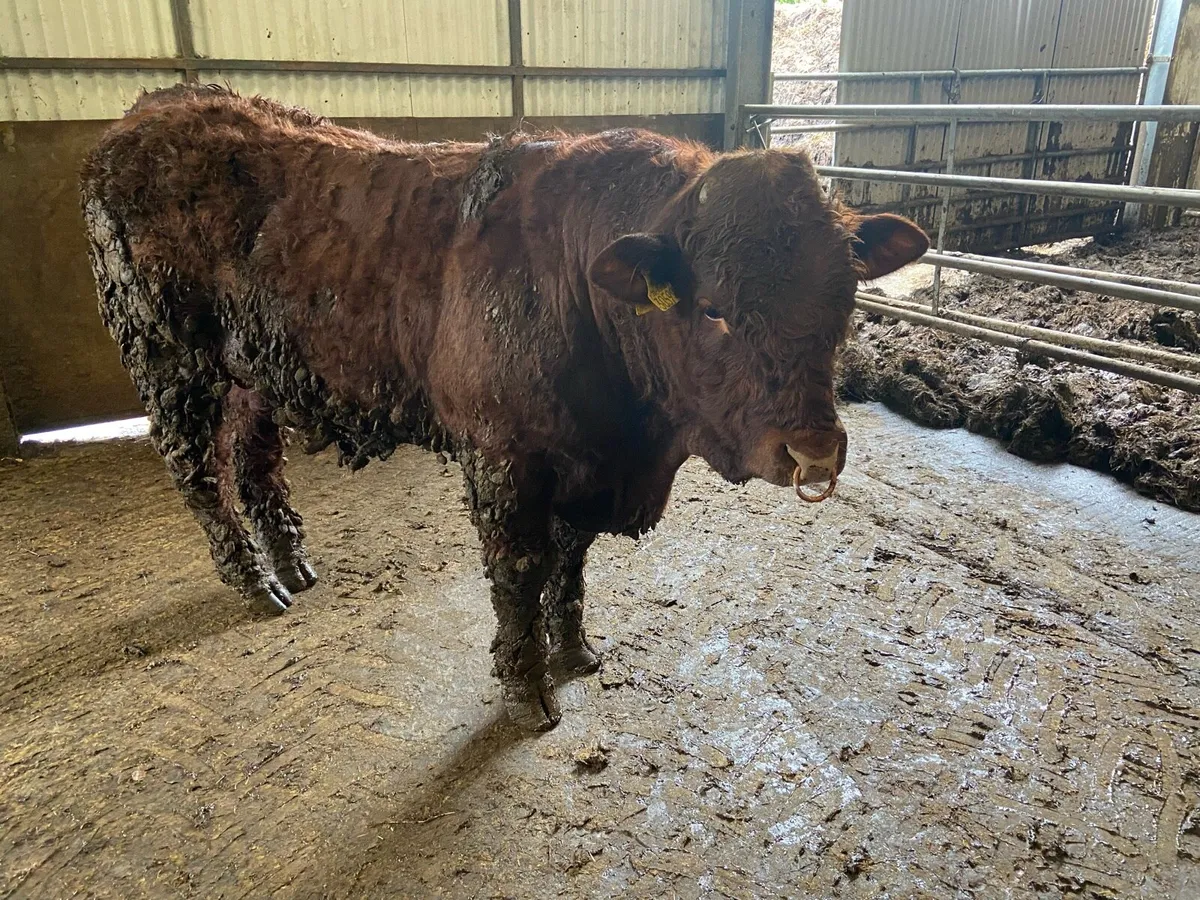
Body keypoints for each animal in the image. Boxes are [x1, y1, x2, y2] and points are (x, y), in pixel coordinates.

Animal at [80, 85, 928, 732]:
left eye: (845, 299)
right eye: (715, 309)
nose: (813, 451)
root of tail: (154, 110)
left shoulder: (584, 467)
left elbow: (571, 562)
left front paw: (574, 650)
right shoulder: (505, 460)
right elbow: (519, 571)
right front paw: (527, 689)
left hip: (251, 372)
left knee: (255, 462)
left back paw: (293, 565)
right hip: (170, 364)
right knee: (198, 473)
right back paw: (255, 582)